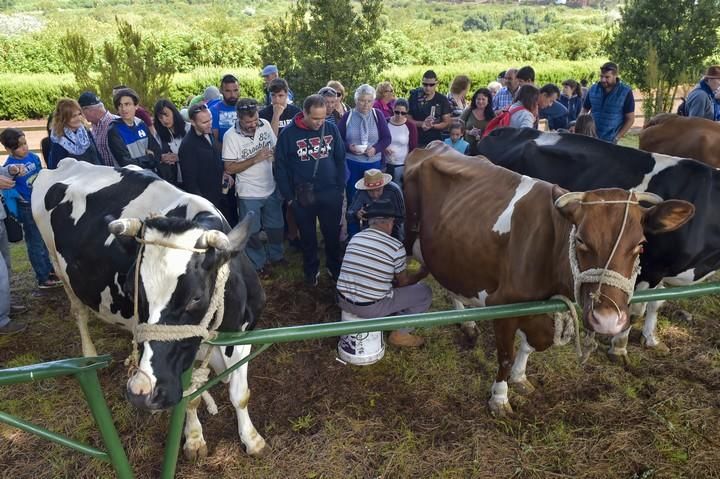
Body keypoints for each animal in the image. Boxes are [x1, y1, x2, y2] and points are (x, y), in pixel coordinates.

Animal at [31, 160, 268, 462]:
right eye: (133, 292)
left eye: (196, 297)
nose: (140, 392)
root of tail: (68, 163)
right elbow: (189, 398)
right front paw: (193, 438)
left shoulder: (243, 334)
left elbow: (240, 393)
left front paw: (251, 439)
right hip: (59, 269)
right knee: (79, 314)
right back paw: (89, 354)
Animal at [402, 143, 696, 416]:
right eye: (581, 240)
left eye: (641, 244)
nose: (608, 320)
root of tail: (433, 146)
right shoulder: (503, 305)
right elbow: (505, 356)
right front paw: (499, 399)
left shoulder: (546, 308)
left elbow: (534, 344)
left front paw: (520, 378)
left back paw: (468, 324)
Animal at [476, 127, 716, 356]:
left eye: (641, 244)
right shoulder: (650, 269)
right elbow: (636, 308)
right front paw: (619, 346)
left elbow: (656, 303)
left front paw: (651, 339)